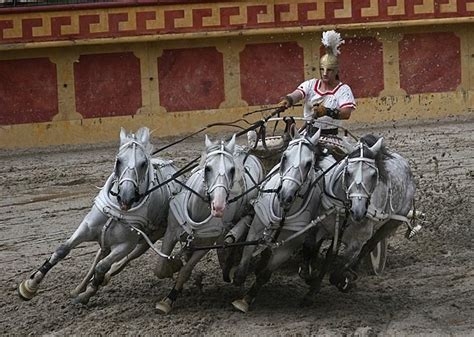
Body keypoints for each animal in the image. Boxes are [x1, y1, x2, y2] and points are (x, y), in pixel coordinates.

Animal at [18, 126, 181, 304]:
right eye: (118, 161)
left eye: (143, 164)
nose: (126, 197)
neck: (117, 211)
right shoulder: (87, 227)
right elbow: (63, 250)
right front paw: (30, 286)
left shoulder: (125, 245)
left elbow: (102, 266)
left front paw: (87, 293)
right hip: (107, 238)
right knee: (100, 254)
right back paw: (78, 288)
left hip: (148, 239)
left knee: (124, 260)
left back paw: (98, 281)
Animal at [153, 133, 264, 312]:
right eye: (207, 168)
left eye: (232, 170)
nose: (218, 206)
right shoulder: (170, 232)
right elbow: (160, 268)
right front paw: (174, 265)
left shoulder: (206, 244)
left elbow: (186, 270)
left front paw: (170, 298)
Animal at [231, 127, 326, 312]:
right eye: (285, 157)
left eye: (308, 163)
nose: (285, 195)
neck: (284, 211)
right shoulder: (257, 226)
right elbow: (246, 253)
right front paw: (238, 277)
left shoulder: (288, 246)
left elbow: (266, 274)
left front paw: (246, 299)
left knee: (313, 245)